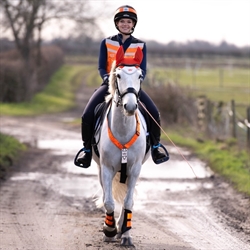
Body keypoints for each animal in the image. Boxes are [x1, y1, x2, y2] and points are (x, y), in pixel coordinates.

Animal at [92, 46, 149, 246]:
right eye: (118, 75)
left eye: (140, 76)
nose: (130, 106)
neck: (123, 131)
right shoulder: (107, 168)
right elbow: (108, 201)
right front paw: (109, 231)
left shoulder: (135, 169)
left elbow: (128, 201)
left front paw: (125, 234)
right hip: (101, 169)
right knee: (105, 194)